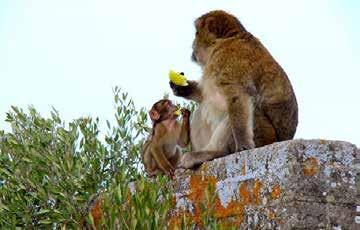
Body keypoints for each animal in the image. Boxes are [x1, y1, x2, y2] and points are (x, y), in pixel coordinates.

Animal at [171, 10, 298, 169]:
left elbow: (237, 95)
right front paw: (181, 88)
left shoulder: (228, 59)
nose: (192, 45)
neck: (227, 39)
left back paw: (214, 153)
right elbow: (204, 94)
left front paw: (243, 146)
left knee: (245, 110)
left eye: (196, 33)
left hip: (265, 135)